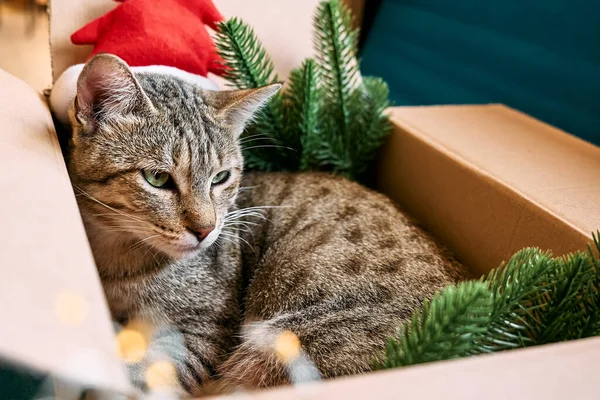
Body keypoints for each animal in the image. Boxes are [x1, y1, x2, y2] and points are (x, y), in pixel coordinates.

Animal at [65, 54, 468, 396]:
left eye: (221, 177)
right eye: (158, 178)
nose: (205, 230)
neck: (118, 254)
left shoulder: (204, 330)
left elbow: (147, 376)